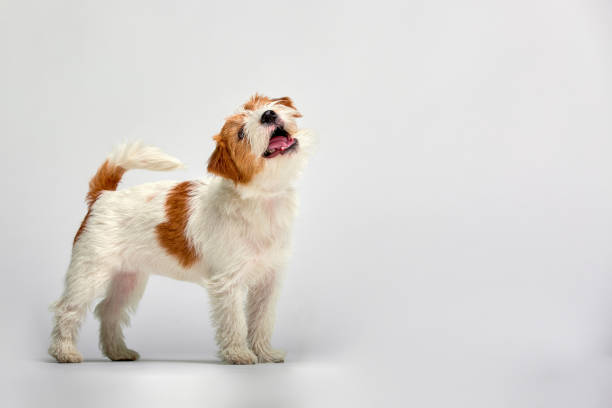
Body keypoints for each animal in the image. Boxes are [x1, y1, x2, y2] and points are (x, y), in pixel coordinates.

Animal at [48, 95, 314, 364]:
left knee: (109, 311)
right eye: (240, 133)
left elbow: (262, 321)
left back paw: (118, 351)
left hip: (128, 280)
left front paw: (265, 352)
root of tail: (103, 195)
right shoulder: (227, 283)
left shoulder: (267, 283)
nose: (268, 114)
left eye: (262, 106)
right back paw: (64, 351)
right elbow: (235, 322)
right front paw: (238, 353)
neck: (261, 200)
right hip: (89, 273)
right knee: (67, 309)